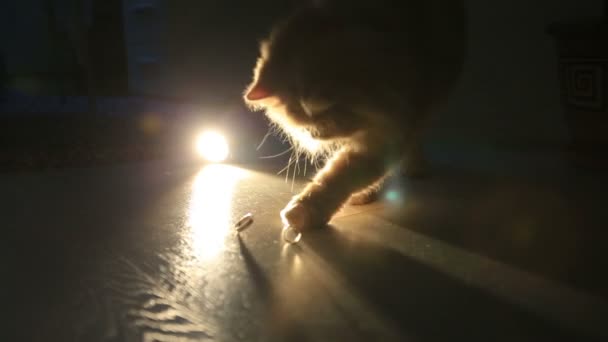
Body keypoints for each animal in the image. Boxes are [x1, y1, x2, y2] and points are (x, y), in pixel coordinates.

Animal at [242, 0, 466, 231]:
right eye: (298, 118)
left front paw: (301, 212)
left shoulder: (388, 133)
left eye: (323, 108)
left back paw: (415, 167)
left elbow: (338, 177)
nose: (314, 134)